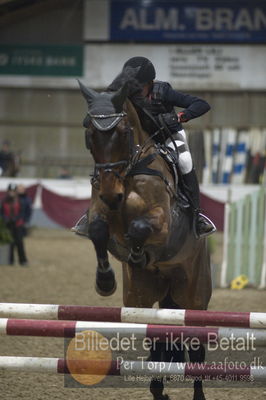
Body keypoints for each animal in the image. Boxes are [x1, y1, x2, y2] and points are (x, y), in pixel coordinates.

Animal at [78, 79, 211, 400]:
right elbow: (98, 231)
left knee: (196, 346)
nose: (111, 193)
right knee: (157, 335)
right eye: (90, 135)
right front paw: (105, 280)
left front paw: (138, 253)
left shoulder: (162, 223)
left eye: (124, 132)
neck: (130, 172)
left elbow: (139, 227)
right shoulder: (100, 213)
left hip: (194, 296)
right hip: (142, 295)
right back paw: (157, 387)